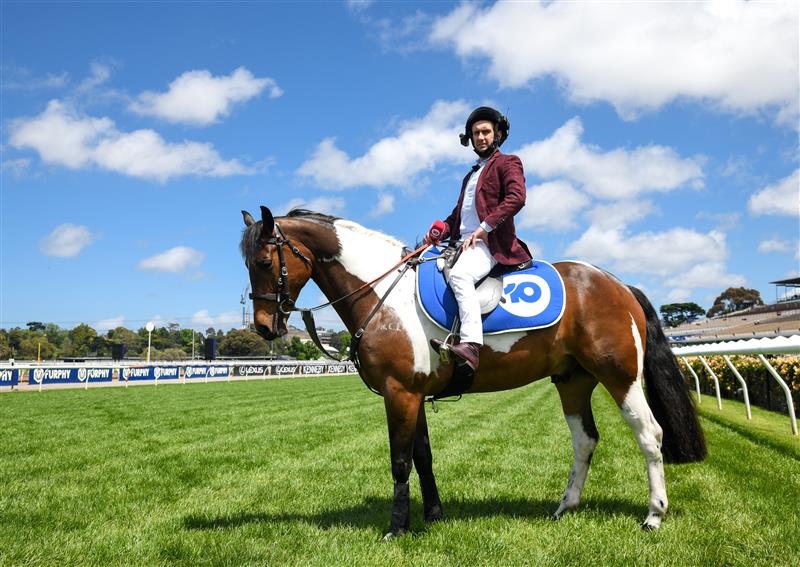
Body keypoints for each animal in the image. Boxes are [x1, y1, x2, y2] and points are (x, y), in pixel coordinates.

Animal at [240, 206, 706, 538]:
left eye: (263, 262)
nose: (263, 327)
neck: (384, 293)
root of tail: (618, 284)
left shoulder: (399, 392)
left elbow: (400, 461)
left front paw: (396, 529)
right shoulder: (414, 393)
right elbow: (424, 457)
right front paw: (432, 517)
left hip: (620, 377)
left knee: (649, 435)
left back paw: (653, 515)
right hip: (573, 381)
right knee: (585, 440)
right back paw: (564, 507)